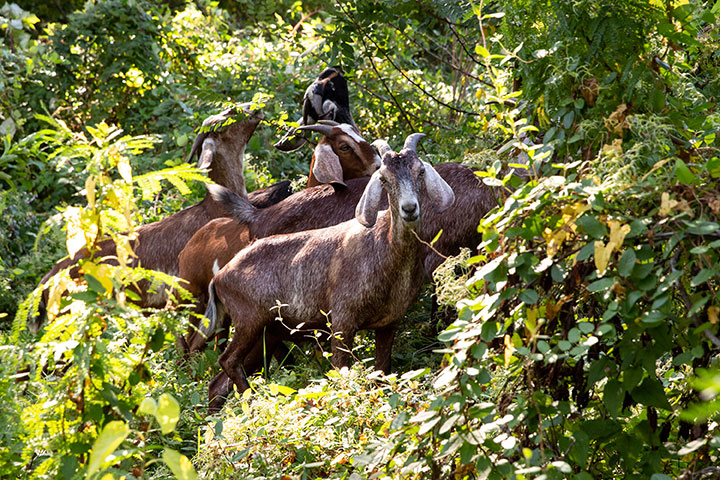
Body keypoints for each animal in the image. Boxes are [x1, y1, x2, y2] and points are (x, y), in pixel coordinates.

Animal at [202, 134, 456, 408]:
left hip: (266, 333)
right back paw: (252, 401)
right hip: (249, 322)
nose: (409, 209)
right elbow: (341, 375)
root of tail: (218, 277)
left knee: (217, 384)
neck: (384, 249)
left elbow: (382, 373)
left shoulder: (388, 324)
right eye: (384, 179)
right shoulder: (342, 321)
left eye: (420, 171)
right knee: (227, 361)